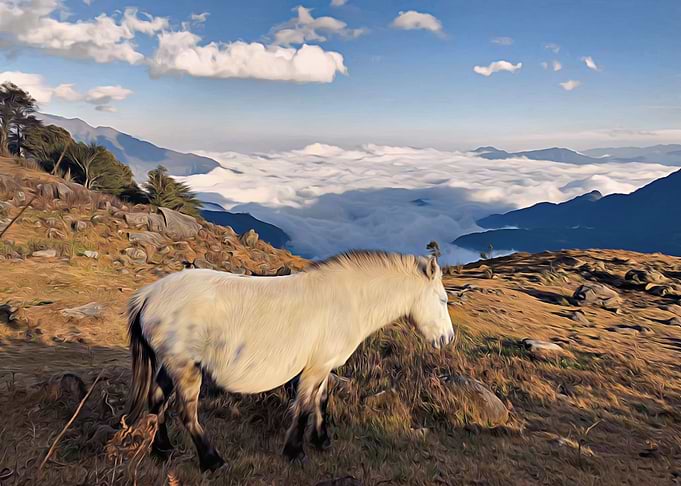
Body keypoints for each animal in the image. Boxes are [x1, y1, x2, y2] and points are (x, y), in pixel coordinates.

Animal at [126, 250, 455, 472]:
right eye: (443, 300)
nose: (447, 339)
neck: (348, 300)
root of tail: (149, 295)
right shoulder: (316, 368)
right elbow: (305, 406)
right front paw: (295, 451)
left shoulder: (324, 366)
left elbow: (321, 401)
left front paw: (321, 440)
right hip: (185, 369)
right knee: (187, 413)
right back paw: (211, 460)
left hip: (171, 366)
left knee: (157, 401)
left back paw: (163, 449)